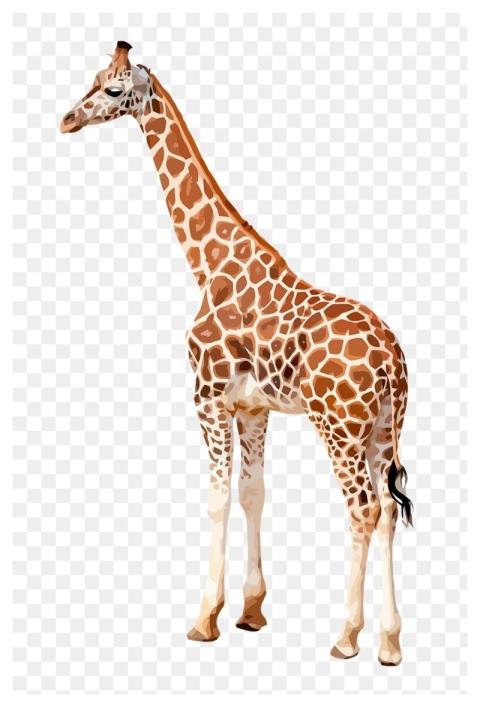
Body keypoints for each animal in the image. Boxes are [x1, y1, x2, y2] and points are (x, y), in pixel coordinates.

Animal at [60, 42, 413, 666]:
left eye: (114, 89)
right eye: (95, 78)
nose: (67, 119)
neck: (209, 265)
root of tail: (392, 361)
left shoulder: (207, 396)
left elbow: (217, 498)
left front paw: (205, 617)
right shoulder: (253, 407)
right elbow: (254, 494)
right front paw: (251, 611)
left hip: (339, 428)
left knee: (364, 509)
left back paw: (347, 636)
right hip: (381, 429)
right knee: (390, 511)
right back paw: (390, 642)